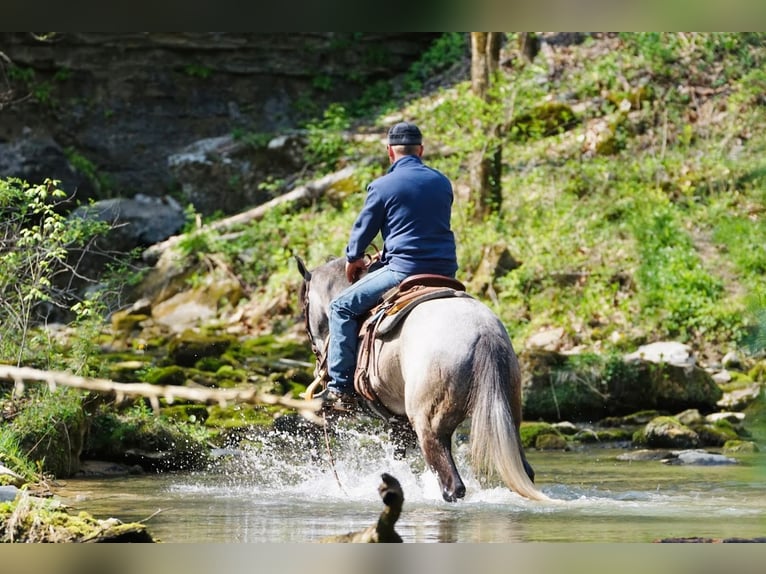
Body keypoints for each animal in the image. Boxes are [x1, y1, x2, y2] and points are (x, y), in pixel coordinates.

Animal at [296, 255, 549, 503]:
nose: (318, 365)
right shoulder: (397, 422)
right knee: (526, 471)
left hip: (429, 427)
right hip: (508, 420)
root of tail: (483, 333)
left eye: (304, 307)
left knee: (452, 486)